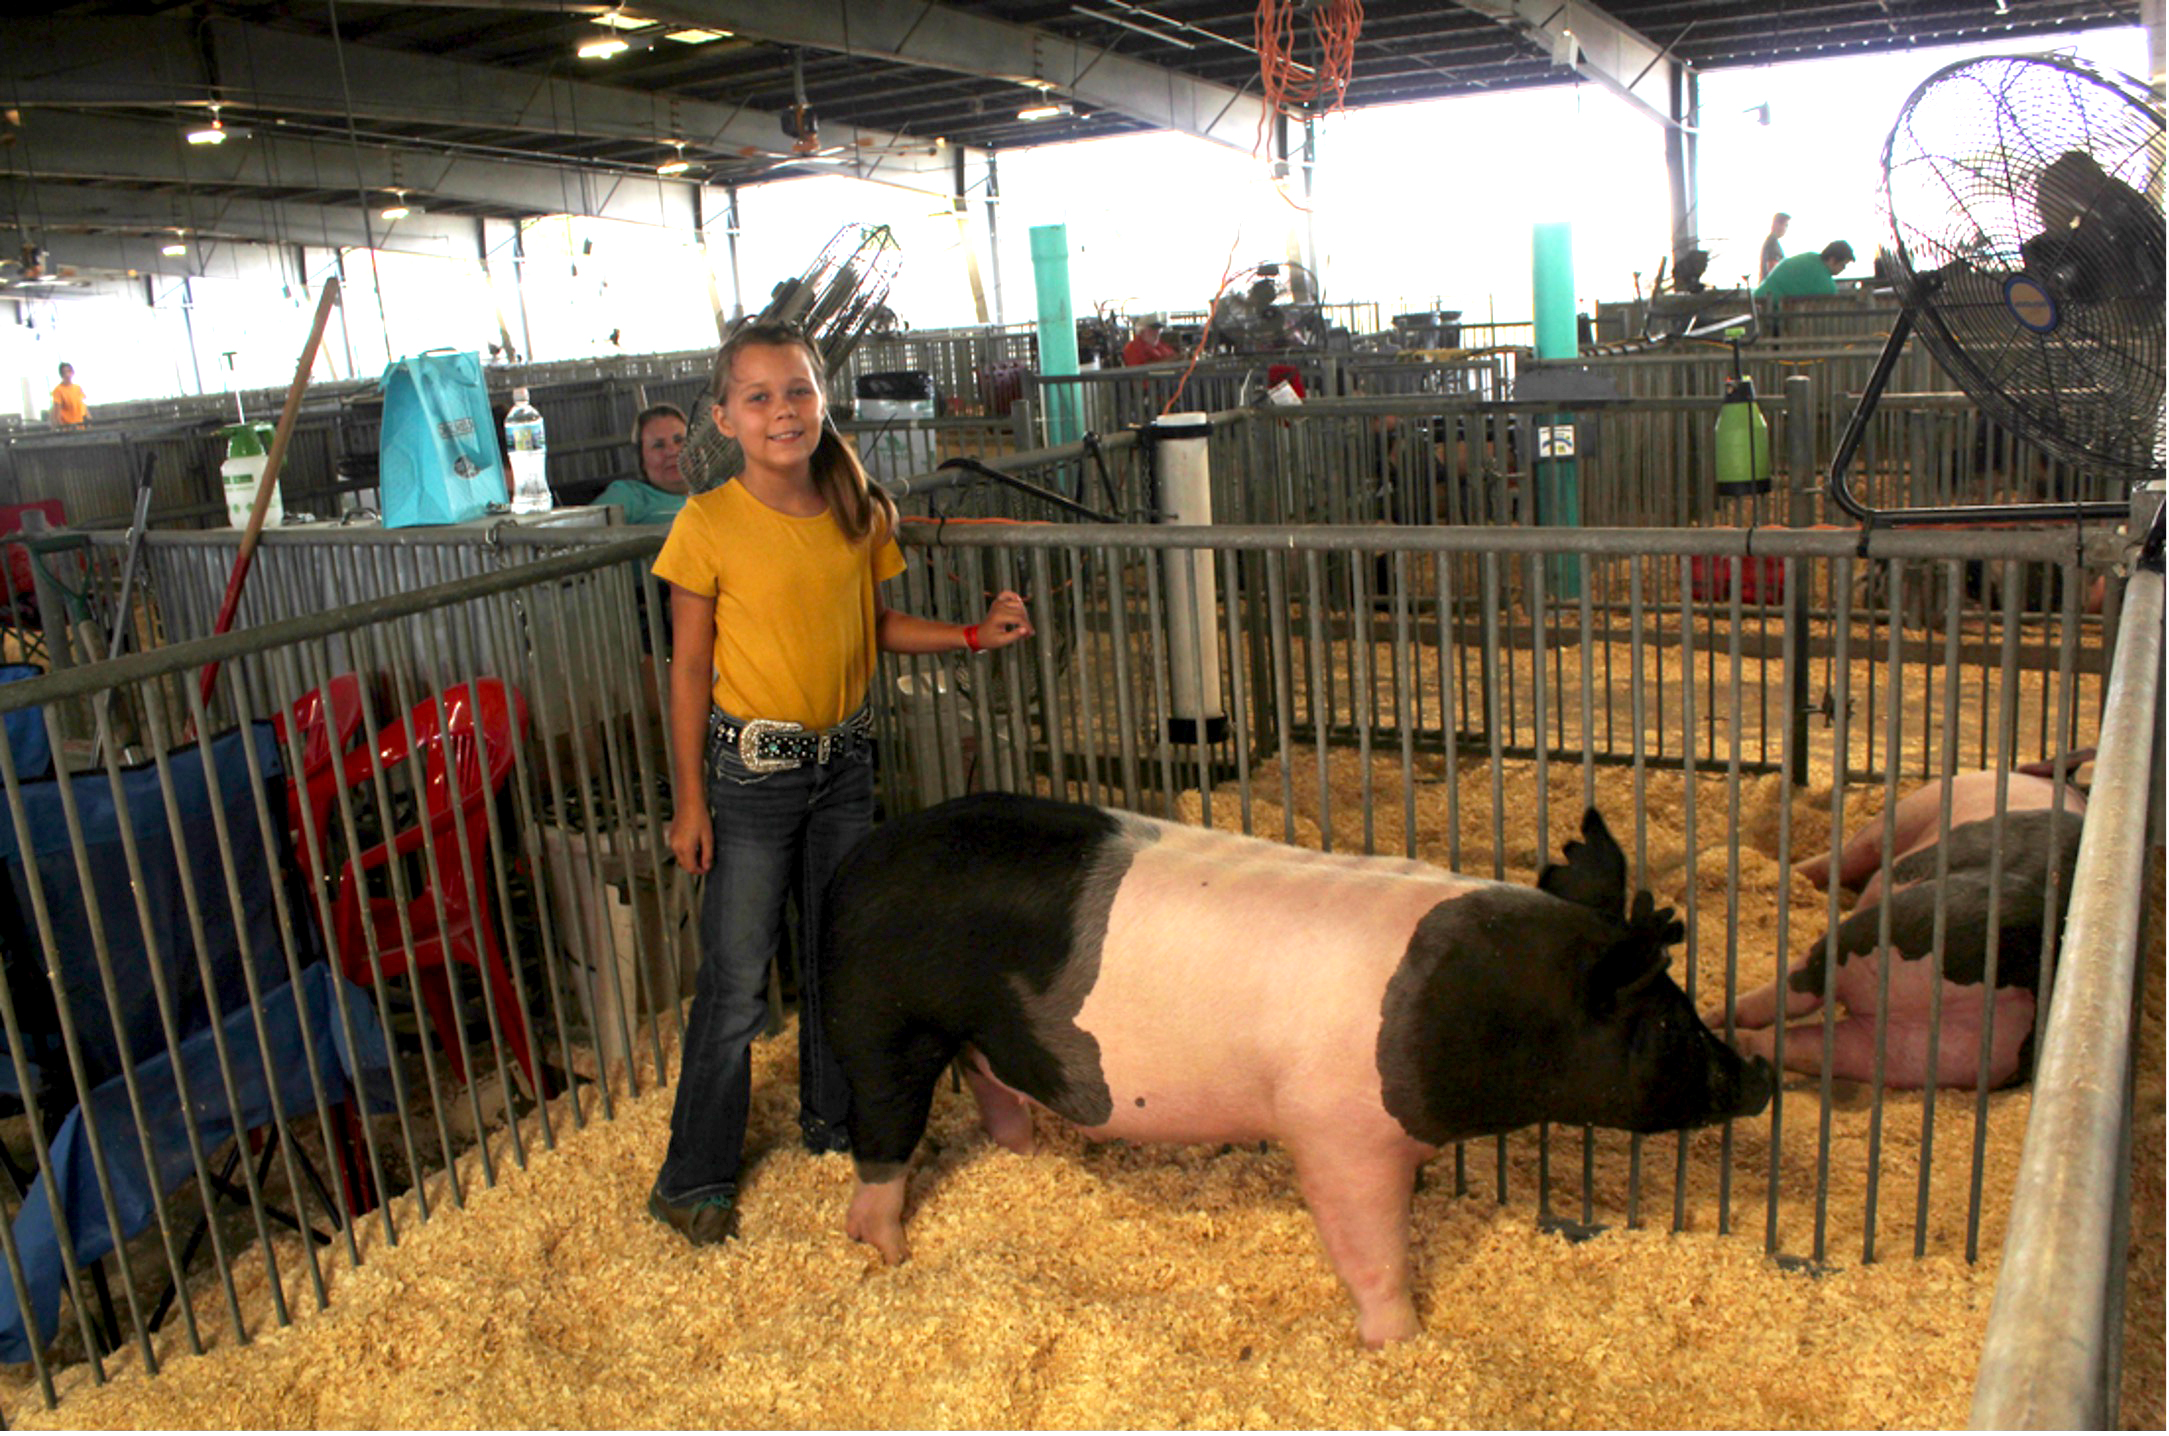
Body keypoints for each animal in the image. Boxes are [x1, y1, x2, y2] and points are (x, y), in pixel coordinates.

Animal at [819, 798, 1769, 1353]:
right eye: (1665, 1022)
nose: (1757, 1075)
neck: (1476, 1008)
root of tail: (860, 856)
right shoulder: (1340, 1133)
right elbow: (1369, 1250)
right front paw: (1401, 1347)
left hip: (977, 1031)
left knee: (990, 1082)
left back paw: (1020, 1157)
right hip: (881, 1021)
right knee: (883, 1133)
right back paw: (887, 1252)